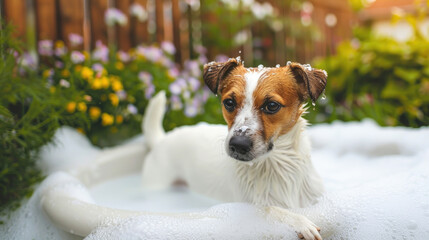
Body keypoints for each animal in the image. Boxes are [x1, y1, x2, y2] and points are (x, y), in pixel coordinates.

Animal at [142, 58, 326, 240]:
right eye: (229, 103)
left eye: (272, 105)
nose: (238, 144)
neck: (274, 166)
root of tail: (163, 139)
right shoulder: (249, 204)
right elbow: (270, 209)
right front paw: (299, 221)